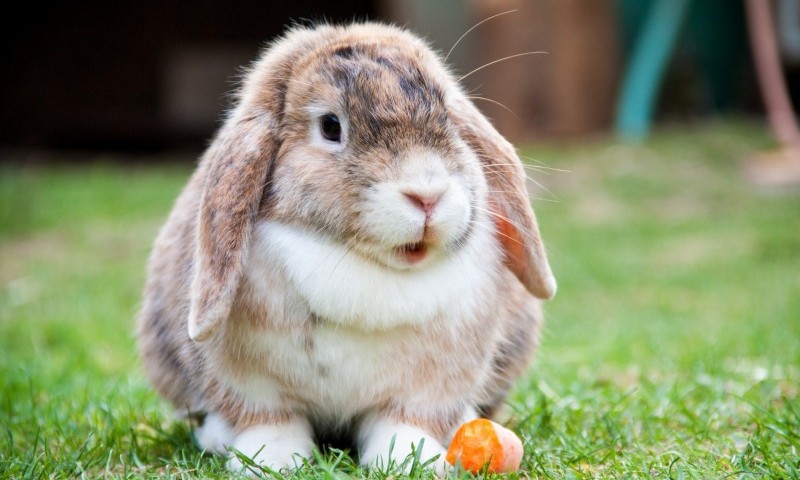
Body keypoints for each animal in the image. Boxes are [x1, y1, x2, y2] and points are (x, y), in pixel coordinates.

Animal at [137, 21, 556, 476]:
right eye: (330, 126)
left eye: (447, 115)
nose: (427, 195)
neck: (363, 264)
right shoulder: (251, 384)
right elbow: (271, 420)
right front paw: (270, 461)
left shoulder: (428, 387)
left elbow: (403, 422)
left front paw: (411, 460)